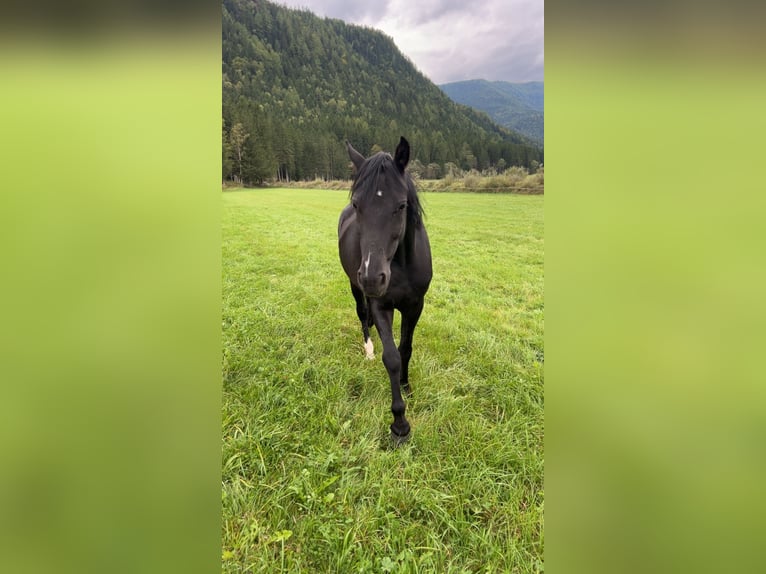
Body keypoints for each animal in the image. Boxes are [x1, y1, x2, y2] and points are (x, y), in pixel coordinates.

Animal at [338, 137, 432, 442]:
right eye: (357, 204)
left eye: (401, 205)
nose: (372, 277)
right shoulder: (381, 305)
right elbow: (391, 357)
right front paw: (400, 423)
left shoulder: (415, 306)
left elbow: (406, 349)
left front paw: (405, 385)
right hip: (355, 287)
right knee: (361, 314)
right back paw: (368, 348)